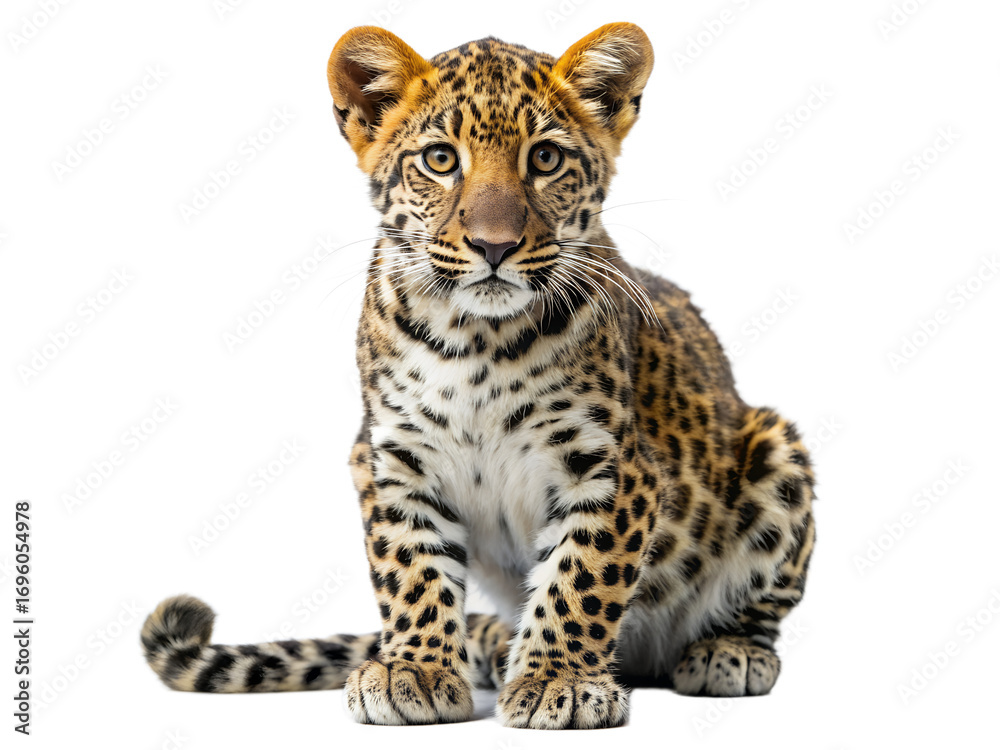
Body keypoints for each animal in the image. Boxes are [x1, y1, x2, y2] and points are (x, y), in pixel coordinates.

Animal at [141, 22, 816, 729]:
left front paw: (558, 680)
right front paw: (414, 669)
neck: (478, 344)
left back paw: (727, 651)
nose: (494, 245)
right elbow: (411, 568)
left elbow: (580, 578)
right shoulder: (391, 457)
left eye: (544, 159)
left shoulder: (612, 467)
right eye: (441, 159)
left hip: (777, 447)